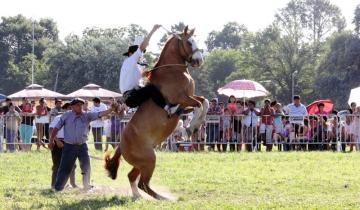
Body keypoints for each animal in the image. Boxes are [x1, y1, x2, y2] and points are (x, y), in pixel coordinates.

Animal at [104, 26, 208, 200]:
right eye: (189, 42)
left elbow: (204, 102)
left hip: (142, 163)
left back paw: (138, 197)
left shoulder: (187, 101)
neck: (173, 70)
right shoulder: (182, 99)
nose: (199, 60)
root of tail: (121, 144)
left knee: (132, 177)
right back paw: (165, 199)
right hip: (150, 160)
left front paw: (195, 124)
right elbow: (199, 104)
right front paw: (191, 127)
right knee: (143, 183)